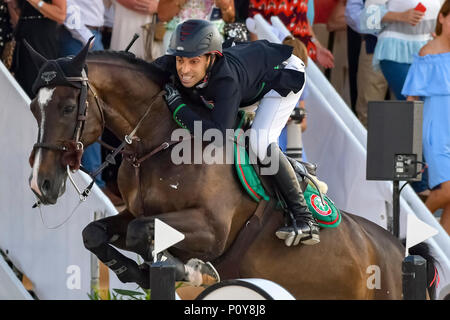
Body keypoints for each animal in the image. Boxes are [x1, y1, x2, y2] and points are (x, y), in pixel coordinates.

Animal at [25, 40, 418, 300]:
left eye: (66, 107)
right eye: (33, 108)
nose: (40, 184)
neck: (160, 144)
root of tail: (395, 247)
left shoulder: (212, 230)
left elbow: (142, 234)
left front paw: (193, 270)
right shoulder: (133, 212)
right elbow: (95, 233)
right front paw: (139, 272)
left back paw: (302, 225)